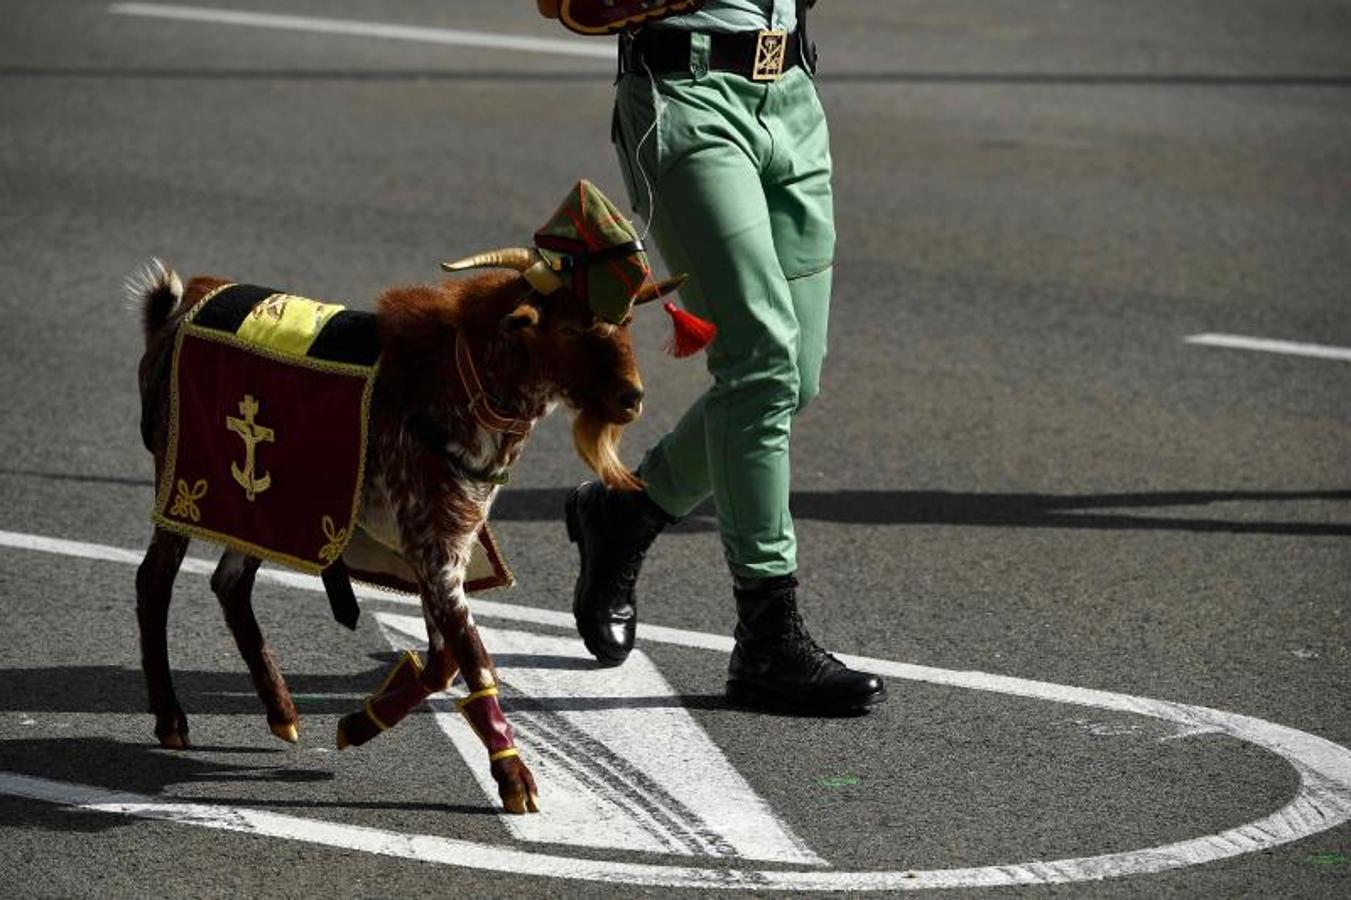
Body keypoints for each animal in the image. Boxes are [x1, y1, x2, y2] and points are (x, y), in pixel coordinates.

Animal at [131, 254, 670, 810]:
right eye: (567, 328)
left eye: (627, 323)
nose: (631, 398)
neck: (453, 385)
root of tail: (170, 315)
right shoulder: (434, 549)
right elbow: (473, 657)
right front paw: (514, 777)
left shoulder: (440, 549)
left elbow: (443, 660)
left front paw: (361, 722)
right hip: (187, 489)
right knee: (154, 583)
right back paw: (171, 718)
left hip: (266, 514)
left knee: (230, 583)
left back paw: (282, 712)